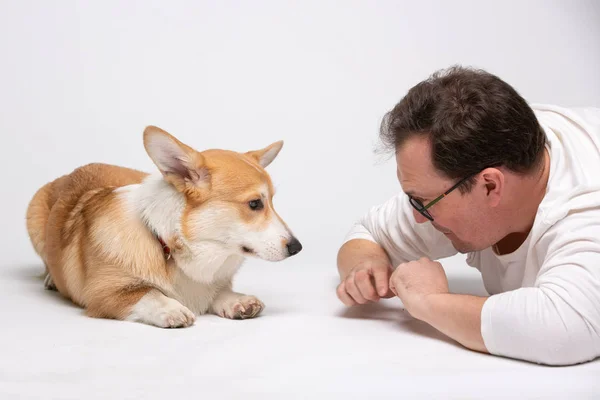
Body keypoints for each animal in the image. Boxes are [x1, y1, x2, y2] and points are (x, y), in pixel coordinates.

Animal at [25, 126, 302, 328]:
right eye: (255, 204)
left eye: (272, 201)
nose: (297, 248)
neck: (171, 247)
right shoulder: (103, 295)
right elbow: (149, 293)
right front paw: (171, 308)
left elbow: (219, 292)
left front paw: (238, 301)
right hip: (34, 215)